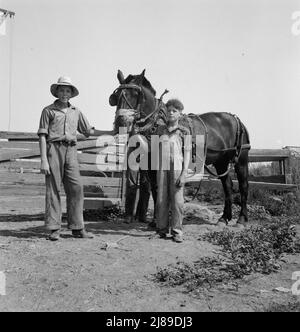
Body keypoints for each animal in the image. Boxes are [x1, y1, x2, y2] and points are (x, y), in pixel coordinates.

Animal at [109, 69, 251, 227]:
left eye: (135, 94)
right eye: (116, 96)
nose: (120, 122)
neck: (156, 123)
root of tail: (236, 119)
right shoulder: (152, 164)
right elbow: (155, 189)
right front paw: (156, 220)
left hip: (241, 159)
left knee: (243, 186)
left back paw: (241, 219)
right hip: (221, 161)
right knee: (227, 185)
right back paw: (224, 217)